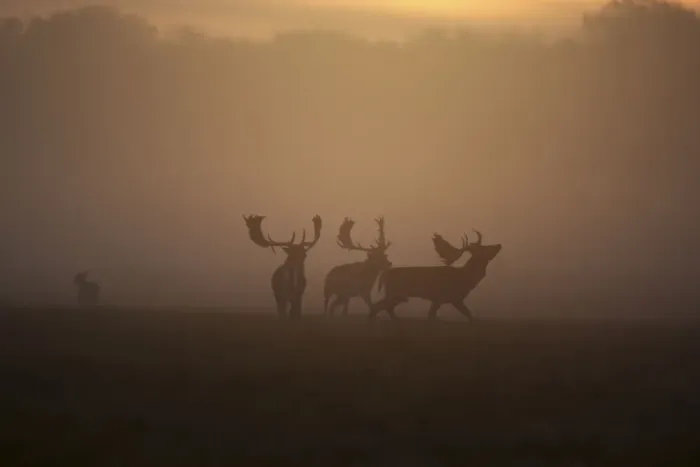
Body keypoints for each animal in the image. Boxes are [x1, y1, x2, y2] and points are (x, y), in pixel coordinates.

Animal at [370, 230, 502, 321]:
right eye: (484, 248)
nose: (499, 245)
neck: (465, 277)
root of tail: (384, 274)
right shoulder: (446, 297)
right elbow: (469, 315)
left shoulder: (445, 299)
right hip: (396, 293)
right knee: (377, 307)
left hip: (397, 295)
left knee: (386, 308)